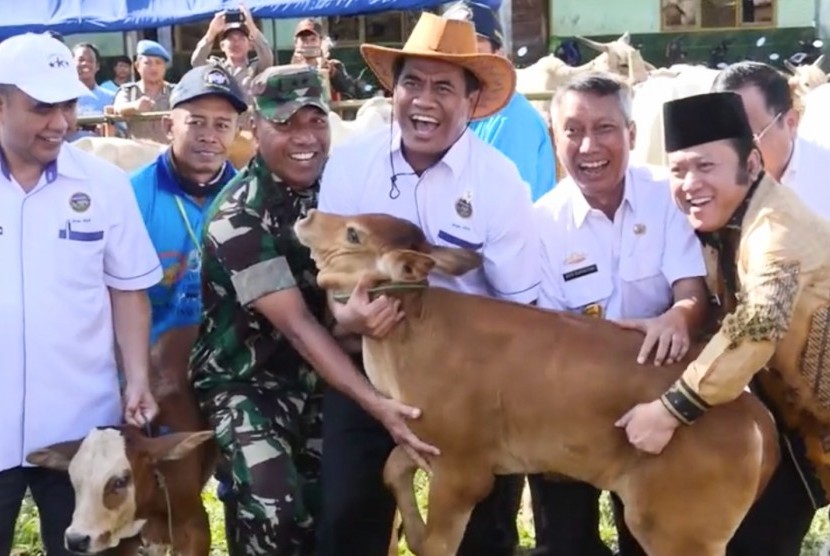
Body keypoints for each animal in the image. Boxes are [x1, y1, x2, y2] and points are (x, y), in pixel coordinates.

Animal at [296, 211, 784, 556]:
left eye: (353, 234)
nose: (309, 216)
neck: (412, 333)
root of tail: (755, 414)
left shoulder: (464, 472)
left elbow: (433, 544)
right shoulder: (423, 443)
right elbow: (391, 468)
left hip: (678, 532)